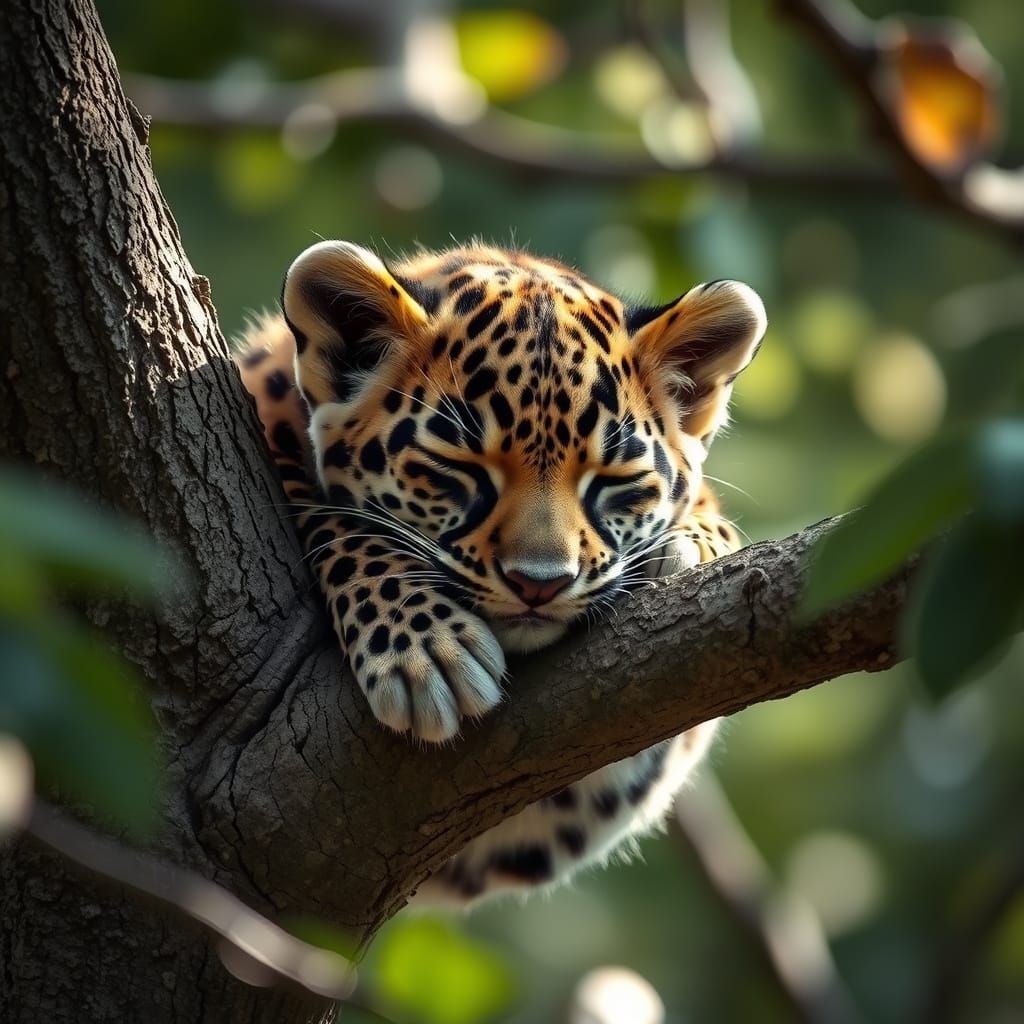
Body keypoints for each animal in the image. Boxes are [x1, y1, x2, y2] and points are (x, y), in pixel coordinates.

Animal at [236, 239, 766, 904]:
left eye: (612, 480)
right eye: (455, 467)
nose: (540, 582)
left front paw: (694, 543)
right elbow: (331, 518)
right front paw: (426, 649)